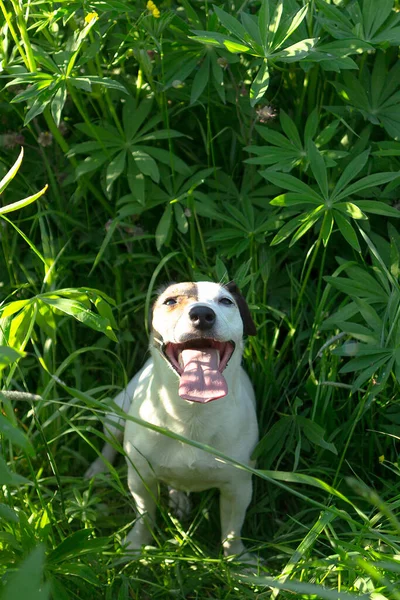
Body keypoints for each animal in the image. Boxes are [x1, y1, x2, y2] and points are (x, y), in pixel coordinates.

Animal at [86, 282, 258, 564]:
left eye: (226, 301)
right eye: (170, 301)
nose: (202, 314)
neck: (192, 415)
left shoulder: (238, 488)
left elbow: (232, 531)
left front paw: (238, 561)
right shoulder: (141, 479)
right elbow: (144, 516)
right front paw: (136, 545)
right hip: (115, 414)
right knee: (109, 444)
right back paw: (98, 470)